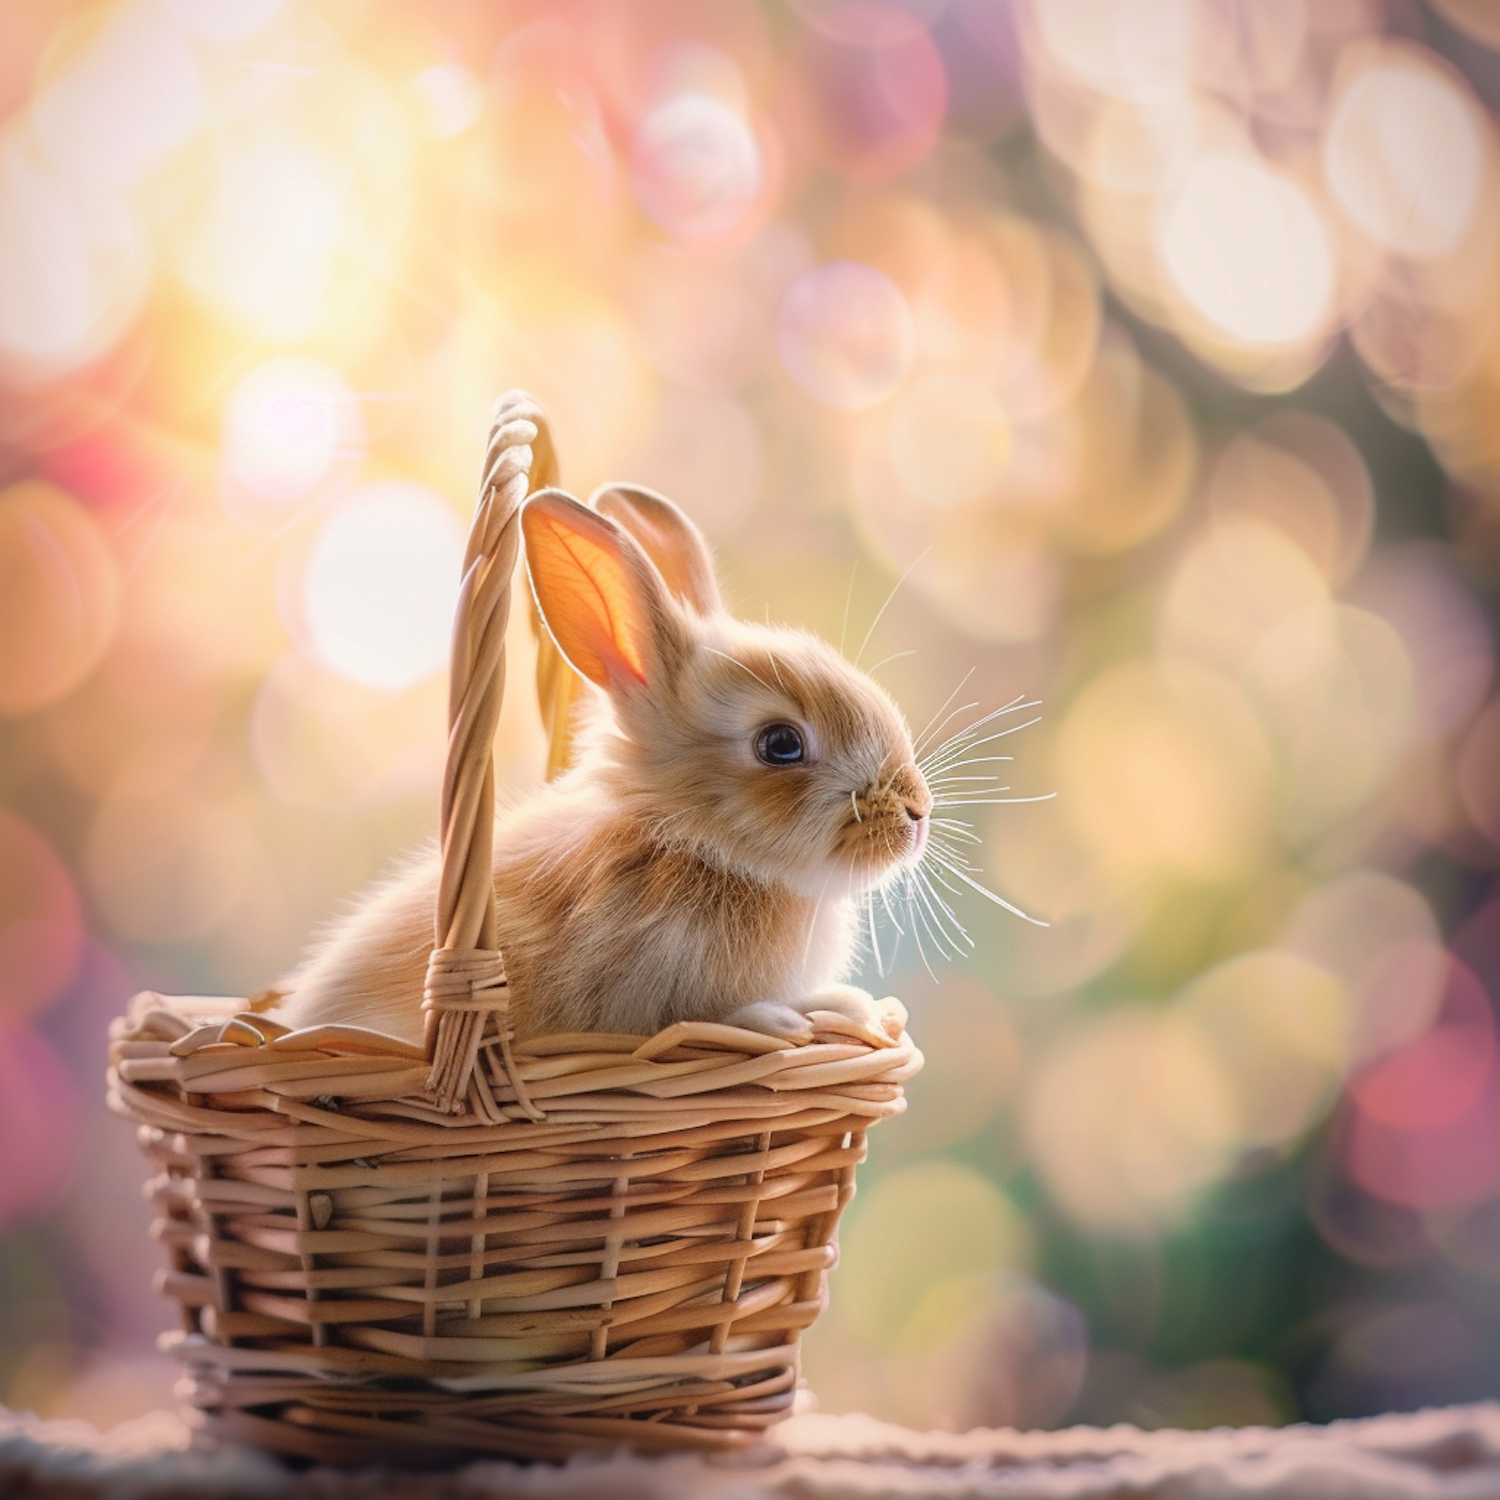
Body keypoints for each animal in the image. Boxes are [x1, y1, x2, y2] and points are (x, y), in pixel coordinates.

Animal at [270, 489, 924, 1044]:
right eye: (781, 744)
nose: (917, 811)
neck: (690, 841)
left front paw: (848, 1008)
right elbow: (695, 1021)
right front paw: (791, 1020)